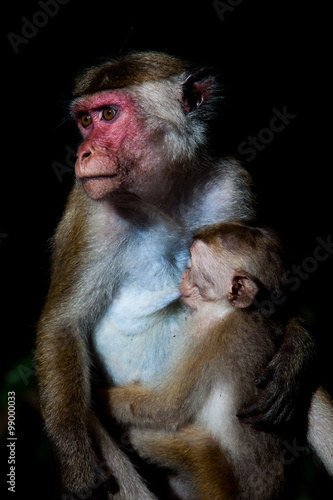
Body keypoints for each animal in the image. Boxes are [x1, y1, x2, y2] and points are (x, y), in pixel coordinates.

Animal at [105, 224, 332, 500]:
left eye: (191, 265)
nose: (183, 275)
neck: (234, 311)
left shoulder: (205, 335)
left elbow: (166, 407)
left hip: (217, 483)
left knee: (180, 442)